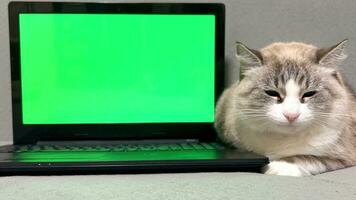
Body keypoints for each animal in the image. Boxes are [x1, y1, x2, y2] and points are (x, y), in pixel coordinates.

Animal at [214, 40, 356, 177]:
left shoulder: (345, 156)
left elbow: (309, 158)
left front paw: (279, 166)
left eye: (309, 93)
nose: (291, 115)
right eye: (272, 93)